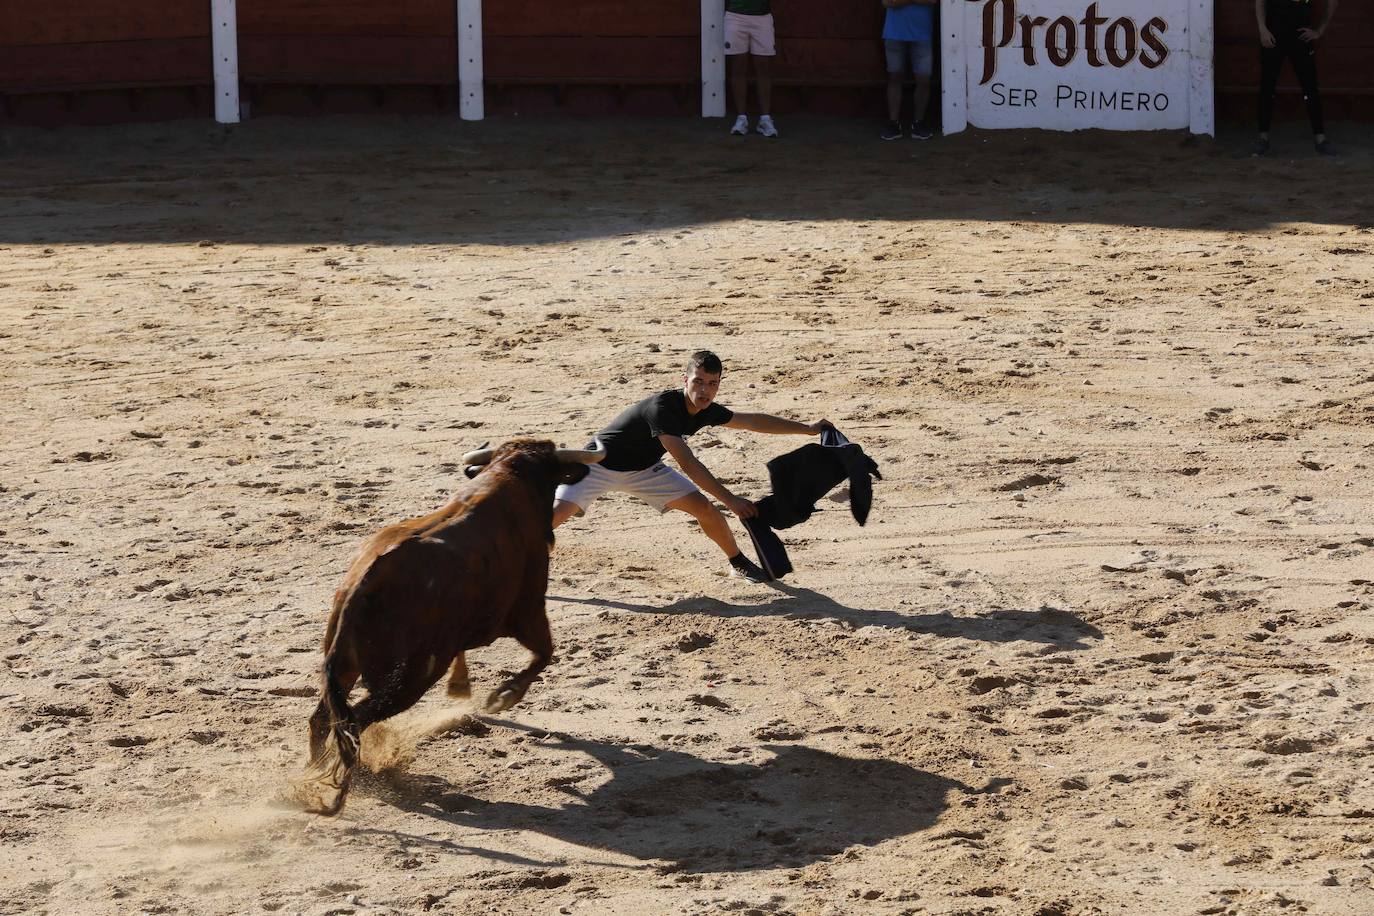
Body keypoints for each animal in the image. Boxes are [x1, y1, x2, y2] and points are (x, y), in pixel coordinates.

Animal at [306, 436, 601, 818]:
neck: (508, 476)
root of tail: (363, 585)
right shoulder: (529, 611)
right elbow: (544, 654)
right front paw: (501, 698)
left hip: (345, 664)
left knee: (323, 719)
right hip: (411, 677)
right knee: (354, 720)